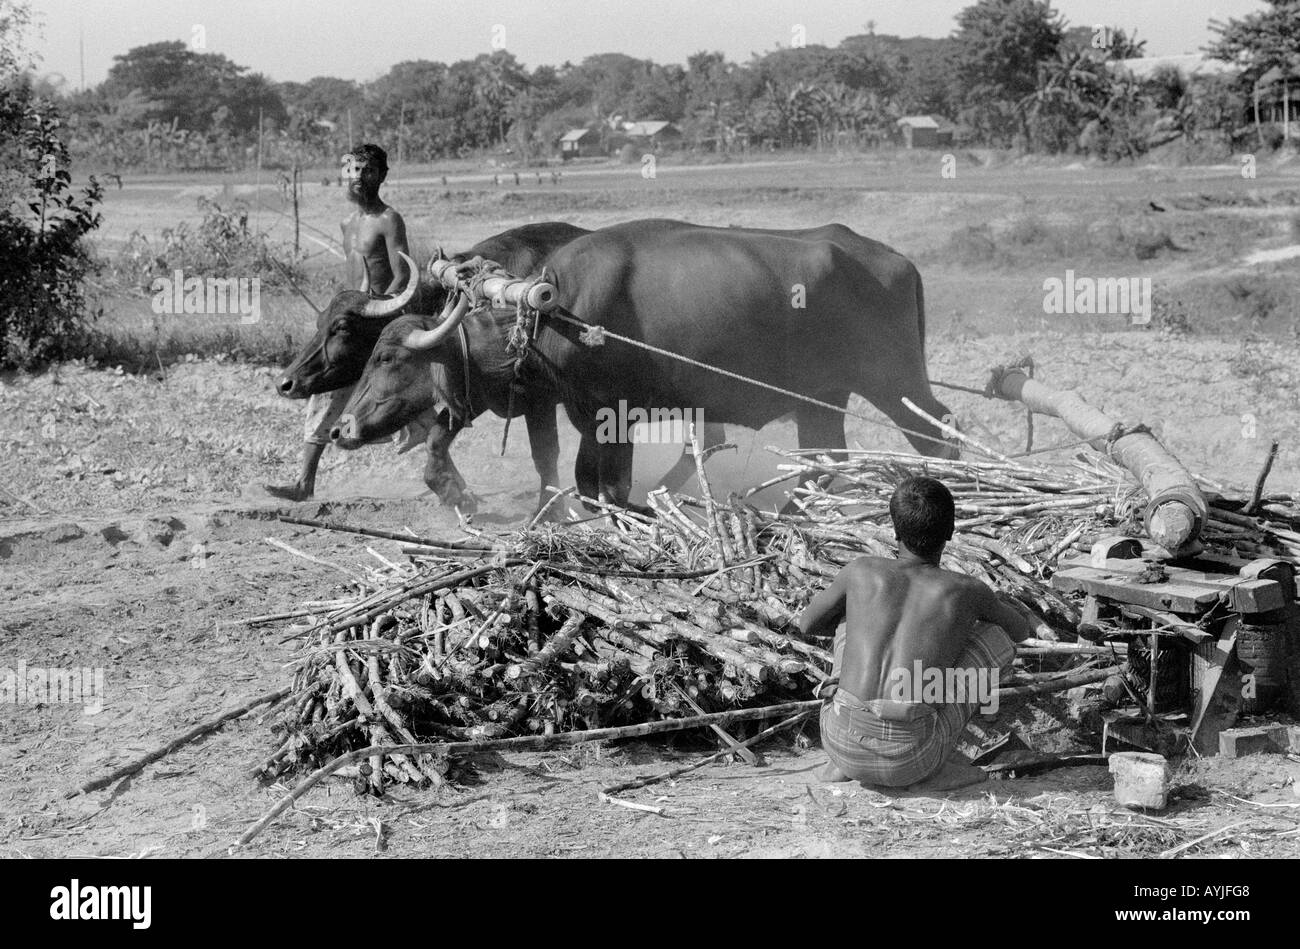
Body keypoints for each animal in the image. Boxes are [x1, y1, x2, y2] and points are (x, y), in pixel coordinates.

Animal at [284, 219, 595, 509]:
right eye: (320, 322)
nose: (285, 382)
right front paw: (457, 493)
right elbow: (435, 438)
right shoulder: (466, 388)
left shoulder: (536, 399)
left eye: (342, 327)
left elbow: (545, 454)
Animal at [343, 215, 956, 509]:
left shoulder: (616, 417)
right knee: (824, 463)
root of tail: (896, 262)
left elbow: (608, 488)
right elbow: (585, 483)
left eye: (389, 355)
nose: (343, 426)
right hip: (822, 400)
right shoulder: (586, 416)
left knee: (940, 434)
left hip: (895, 384)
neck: (556, 311)